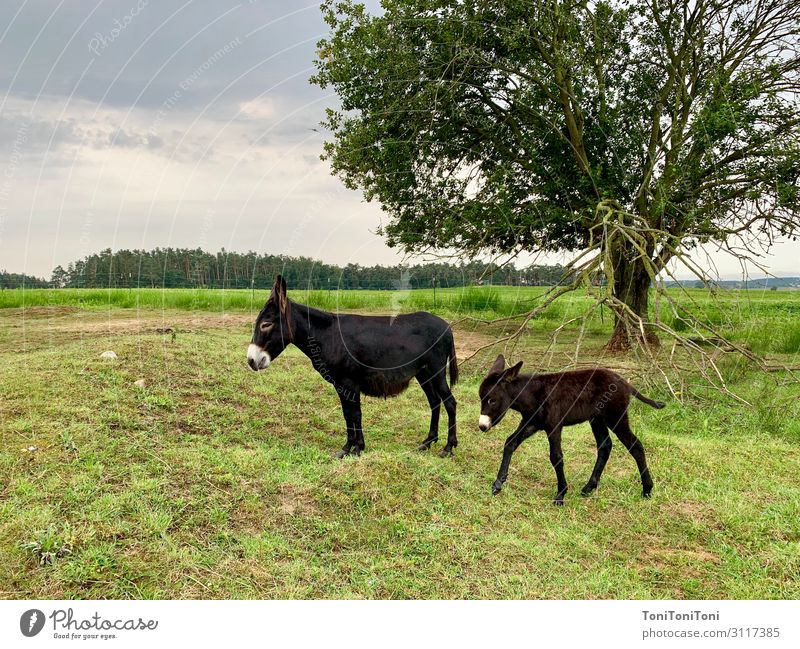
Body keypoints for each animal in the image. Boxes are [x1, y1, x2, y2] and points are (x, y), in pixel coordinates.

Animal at [245, 276, 456, 454]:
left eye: (265, 325)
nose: (251, 361)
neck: (327, 336)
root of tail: (447, 327)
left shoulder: (349, 382)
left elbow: (355, 413)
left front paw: (358, 448)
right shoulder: (340, 384)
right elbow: (347, 413)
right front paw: (347, 447)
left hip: (436, 370)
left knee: (450, 402)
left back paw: (449, 447)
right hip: (424, 373)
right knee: (434, 402)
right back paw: (428, 442)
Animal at [478, 356, 664, 504]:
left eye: (492, 400)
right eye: (481, 399)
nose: (482, 426)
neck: (533, 395)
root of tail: (624, 381)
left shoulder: (554, 426)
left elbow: (556, 457)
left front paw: (560, 495)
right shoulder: (532, 424)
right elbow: (510, 442)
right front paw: (498, 484)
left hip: (615, 418)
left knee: (635, 445)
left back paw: (647, 490)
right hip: (597, 419)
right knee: (605, 446)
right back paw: (589, 487)